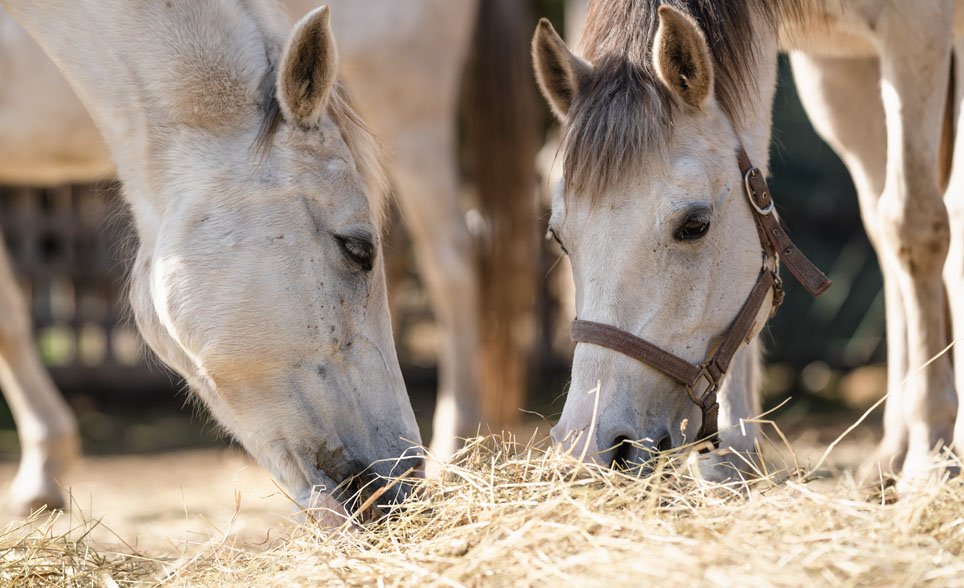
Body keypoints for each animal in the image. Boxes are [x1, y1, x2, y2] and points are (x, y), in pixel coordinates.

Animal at [536, 0, 964, 486]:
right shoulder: (821, 60)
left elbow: (915, 228)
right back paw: (891, 452)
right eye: (559, 238)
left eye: (694, 225)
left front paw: (932, 455)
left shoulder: (917, 28)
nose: (588, 446)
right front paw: (729, 461)